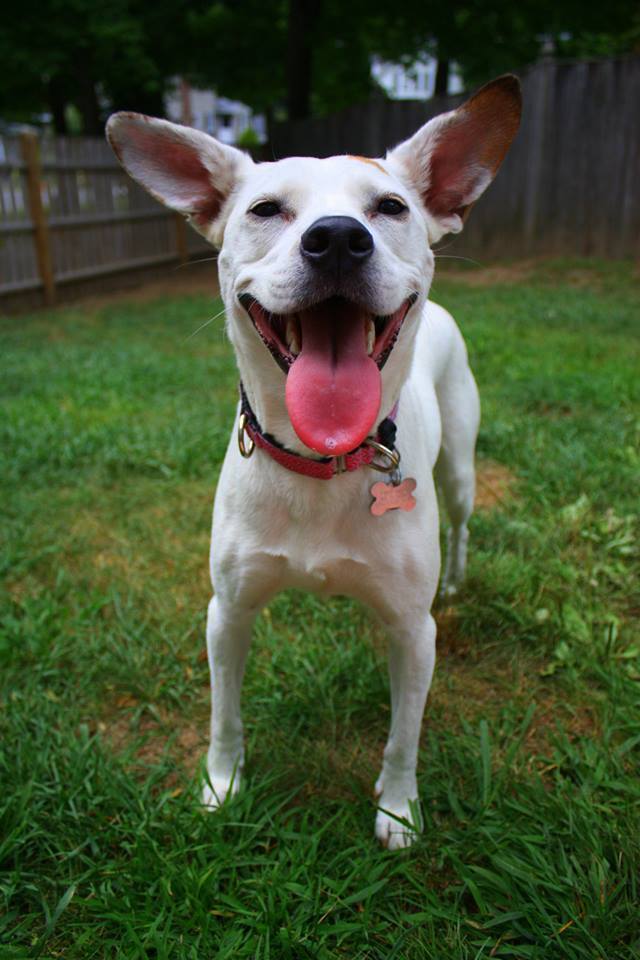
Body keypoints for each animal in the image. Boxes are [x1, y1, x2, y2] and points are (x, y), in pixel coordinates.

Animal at [107, 79, 524, 852]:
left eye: (390, 207)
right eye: (266, 209)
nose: (336, 238)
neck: (320, 463)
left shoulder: (415, 634)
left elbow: (403, 735)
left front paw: (398, 810)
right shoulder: (227, 612)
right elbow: (225, 716)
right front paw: (221, 785)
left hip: (459, 472)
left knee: (459, 524)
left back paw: (455, 578)